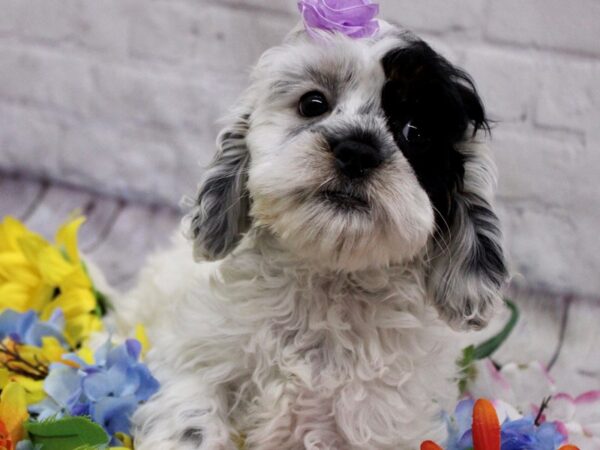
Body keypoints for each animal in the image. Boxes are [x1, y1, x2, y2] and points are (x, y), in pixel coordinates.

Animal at [117, 20, 506, 450]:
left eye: (415, 131)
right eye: (313, 104)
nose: (357, 151)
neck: (328, 283)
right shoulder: (195, 358)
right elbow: (190, 417)